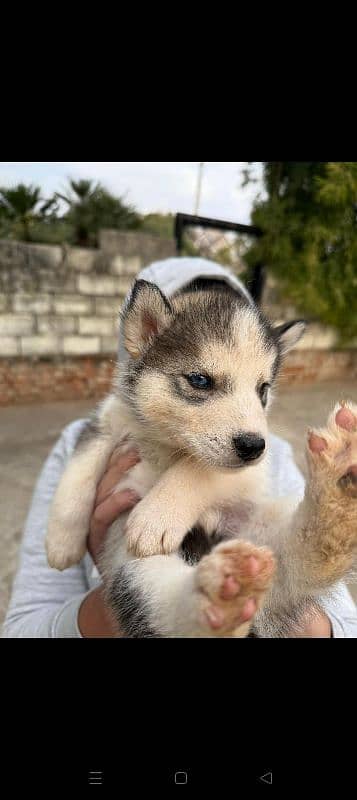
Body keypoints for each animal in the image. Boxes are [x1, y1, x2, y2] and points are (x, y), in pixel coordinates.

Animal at [45, 278, 356, 636]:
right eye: (200, 380)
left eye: (262, 389)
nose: (253, 446)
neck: (168, 445)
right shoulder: (105, 425)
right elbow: (77, 472)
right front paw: (61, 541)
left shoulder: (250, 471)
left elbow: (196, 469)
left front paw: (157, 515)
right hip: (133, 565)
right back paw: (224, 594)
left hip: (256, 528)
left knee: (302, 556)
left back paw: (337, 489)